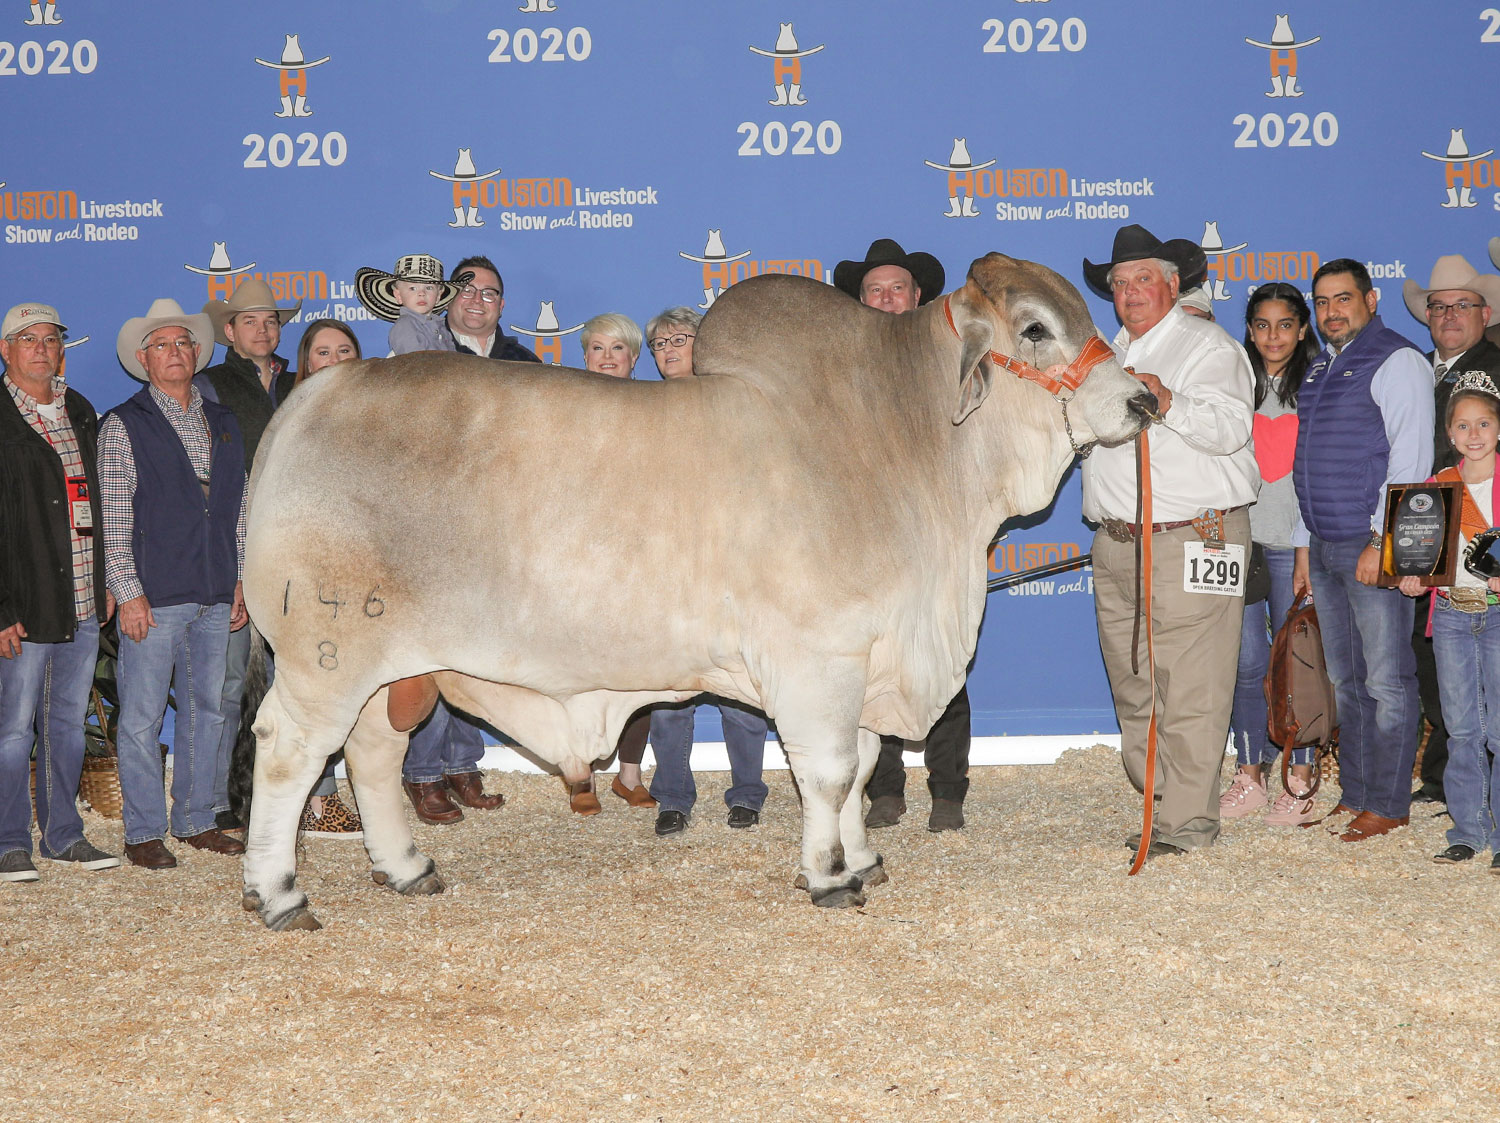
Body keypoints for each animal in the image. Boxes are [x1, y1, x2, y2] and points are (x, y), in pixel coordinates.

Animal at [240, 253, 1146, 929]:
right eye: (1036, 329)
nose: (1145, 398)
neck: (900, 439)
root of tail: (312, 398)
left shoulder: (862, 659)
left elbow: (858, 771)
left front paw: (864, 858)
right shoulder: (817, 660)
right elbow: (827, 772)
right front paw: (828, 875)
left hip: (391, 670)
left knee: (371, 753)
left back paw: (404, 866)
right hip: (326, 656)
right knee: (288, 753)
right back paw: (279, 892)